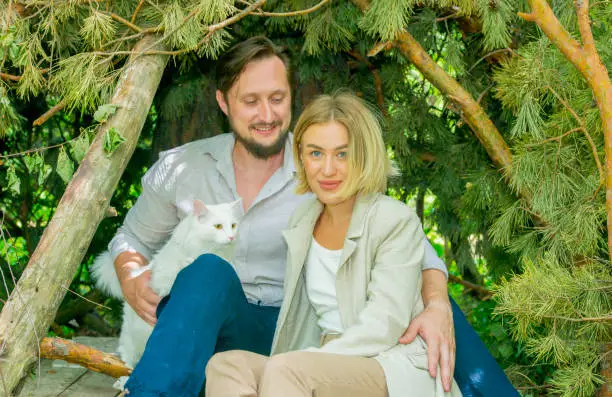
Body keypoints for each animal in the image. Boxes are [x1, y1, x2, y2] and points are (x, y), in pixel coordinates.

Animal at [91, 198, 244, 368]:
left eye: (233, 226)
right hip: (131, 337)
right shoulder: (165, 281)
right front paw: (188, 261)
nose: (231, 237)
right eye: (218, 226)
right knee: (127, 354)